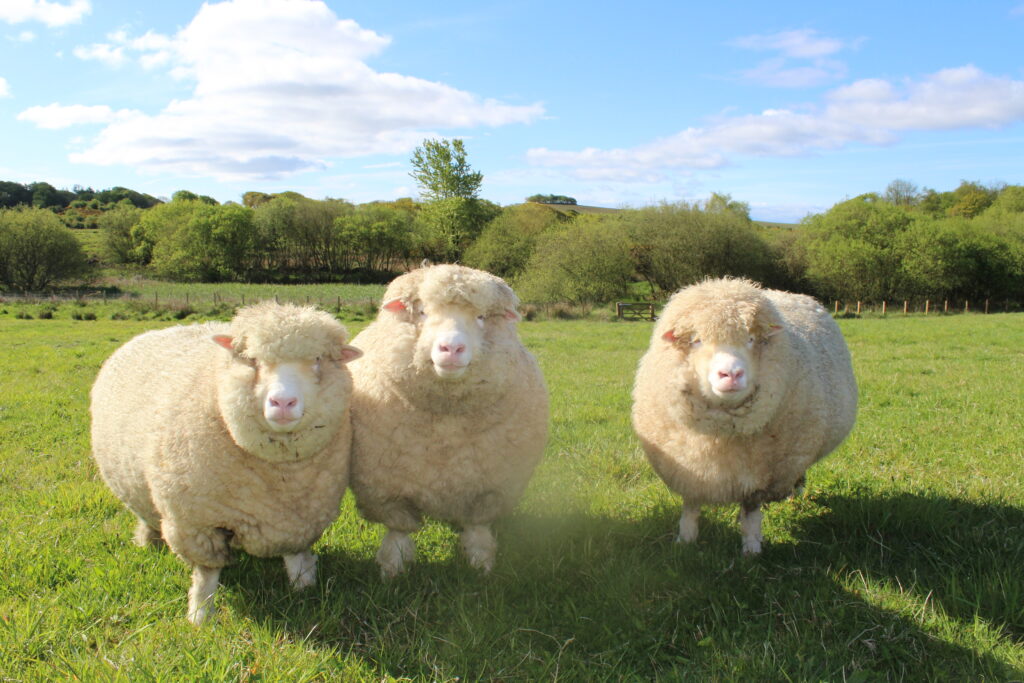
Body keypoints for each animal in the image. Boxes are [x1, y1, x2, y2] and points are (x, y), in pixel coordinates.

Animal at [90, 305, 364, 626]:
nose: (283, 402)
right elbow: (206, 574)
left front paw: (305, 588)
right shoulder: (197, 524)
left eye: (318, 359)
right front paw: (199, 615)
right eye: (252, 360)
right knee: (147, 516)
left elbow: (296, 557)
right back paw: (147, 541)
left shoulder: (298, 519)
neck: (282, 475)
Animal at [348, 264, 548, 581]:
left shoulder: (491, 490)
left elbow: (478, 530)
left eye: (481, 317)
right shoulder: (386, 491)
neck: (446, 425)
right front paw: (392, 570)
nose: (451, 348)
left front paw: (481, 564)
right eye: (423, 312)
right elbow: (398, 533)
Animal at [630, 278, 856, 557]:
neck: (720, 432)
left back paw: (795, 495)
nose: (731, 374)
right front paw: (685, 540)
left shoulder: (760, 477)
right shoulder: (689, 469)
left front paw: (751, 551)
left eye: (750, 339)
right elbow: (691, 507)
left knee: (798, 477)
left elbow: (750, 514)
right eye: (696, 340)